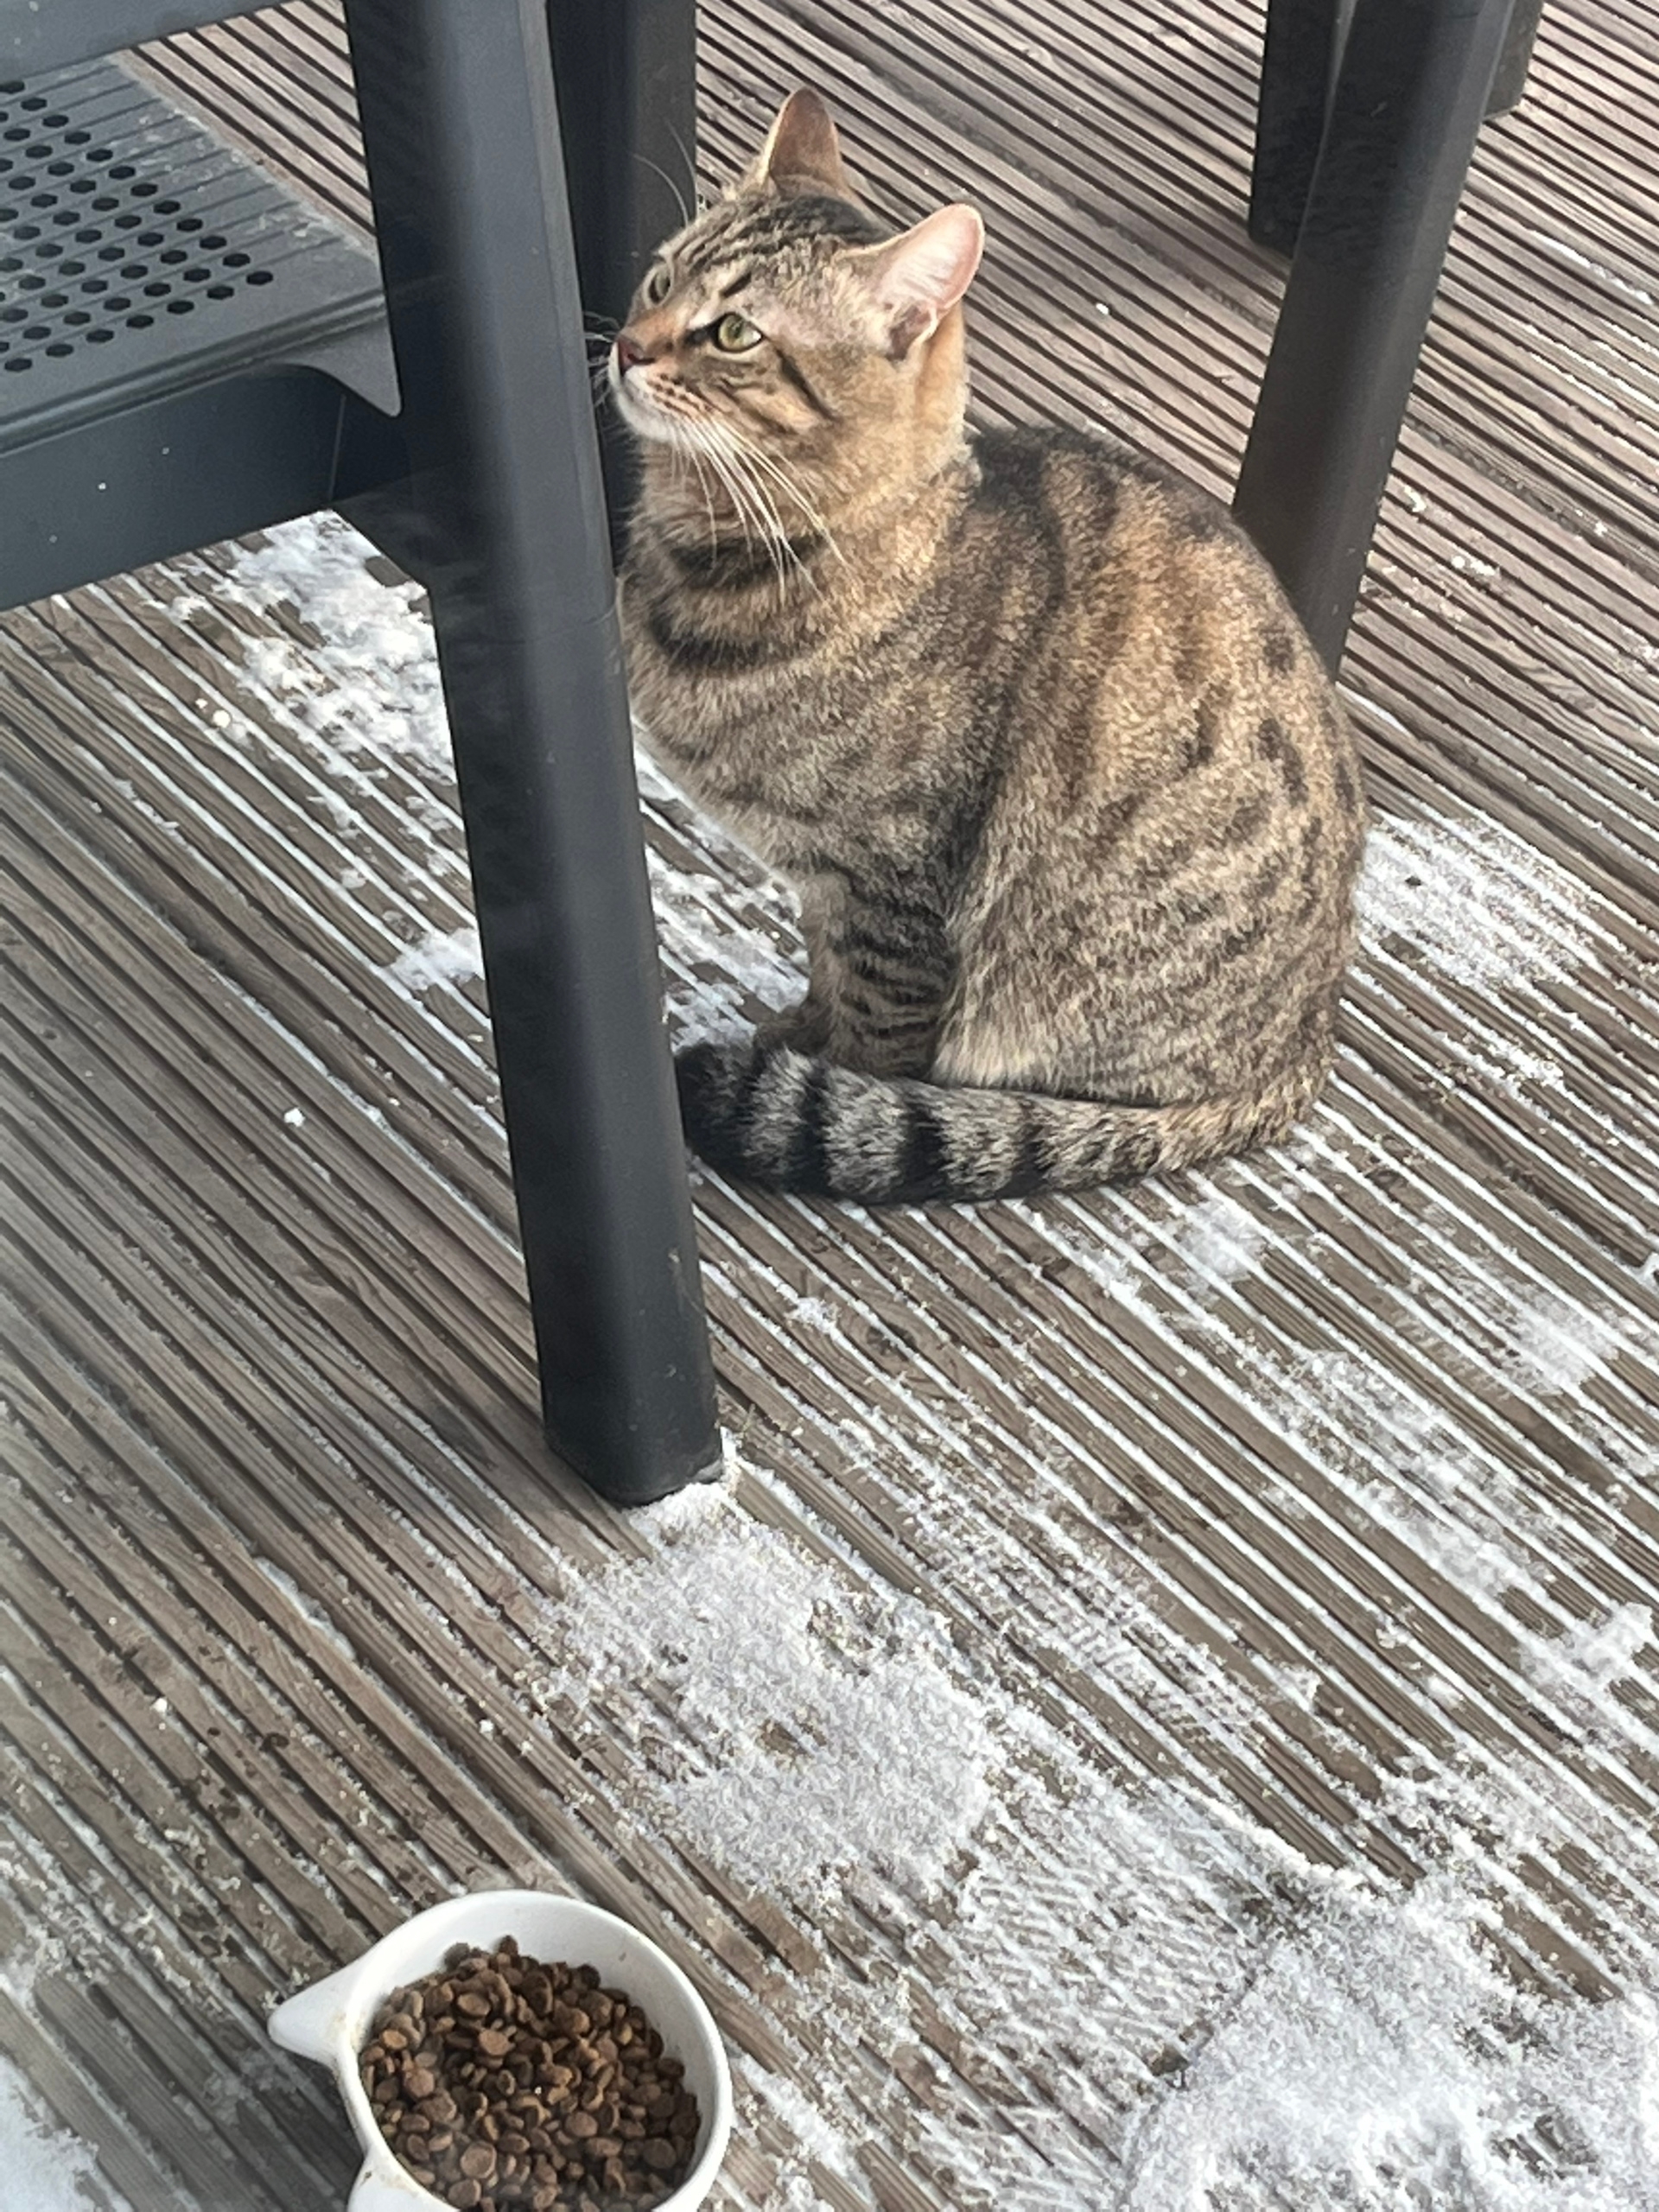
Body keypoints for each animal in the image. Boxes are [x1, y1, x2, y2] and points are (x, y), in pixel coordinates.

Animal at [613, 89, 1366, 1204]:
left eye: (734, 333)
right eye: (661, 279)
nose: (626, 344)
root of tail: (1306, 1046)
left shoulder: (894, 885)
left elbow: (875, 1028)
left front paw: (829, 1078)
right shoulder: (830, 887)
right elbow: (825, 975)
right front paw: (796, 1029)